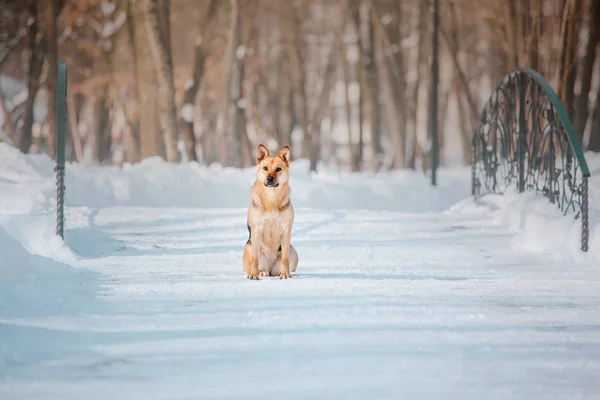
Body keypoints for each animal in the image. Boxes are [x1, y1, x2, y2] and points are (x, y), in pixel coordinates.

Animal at [243, 145, 298, 280]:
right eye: (265, 168)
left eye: (278, 169)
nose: (269, 178)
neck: (271, 199)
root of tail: (271, 269)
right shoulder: (257, 230)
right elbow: (255, 259)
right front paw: (254, 275)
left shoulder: (286, 231)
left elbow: (285, 258)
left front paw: (285, 274)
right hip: (248, 246)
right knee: (255, 263)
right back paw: (260, 272)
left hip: (293, 252)